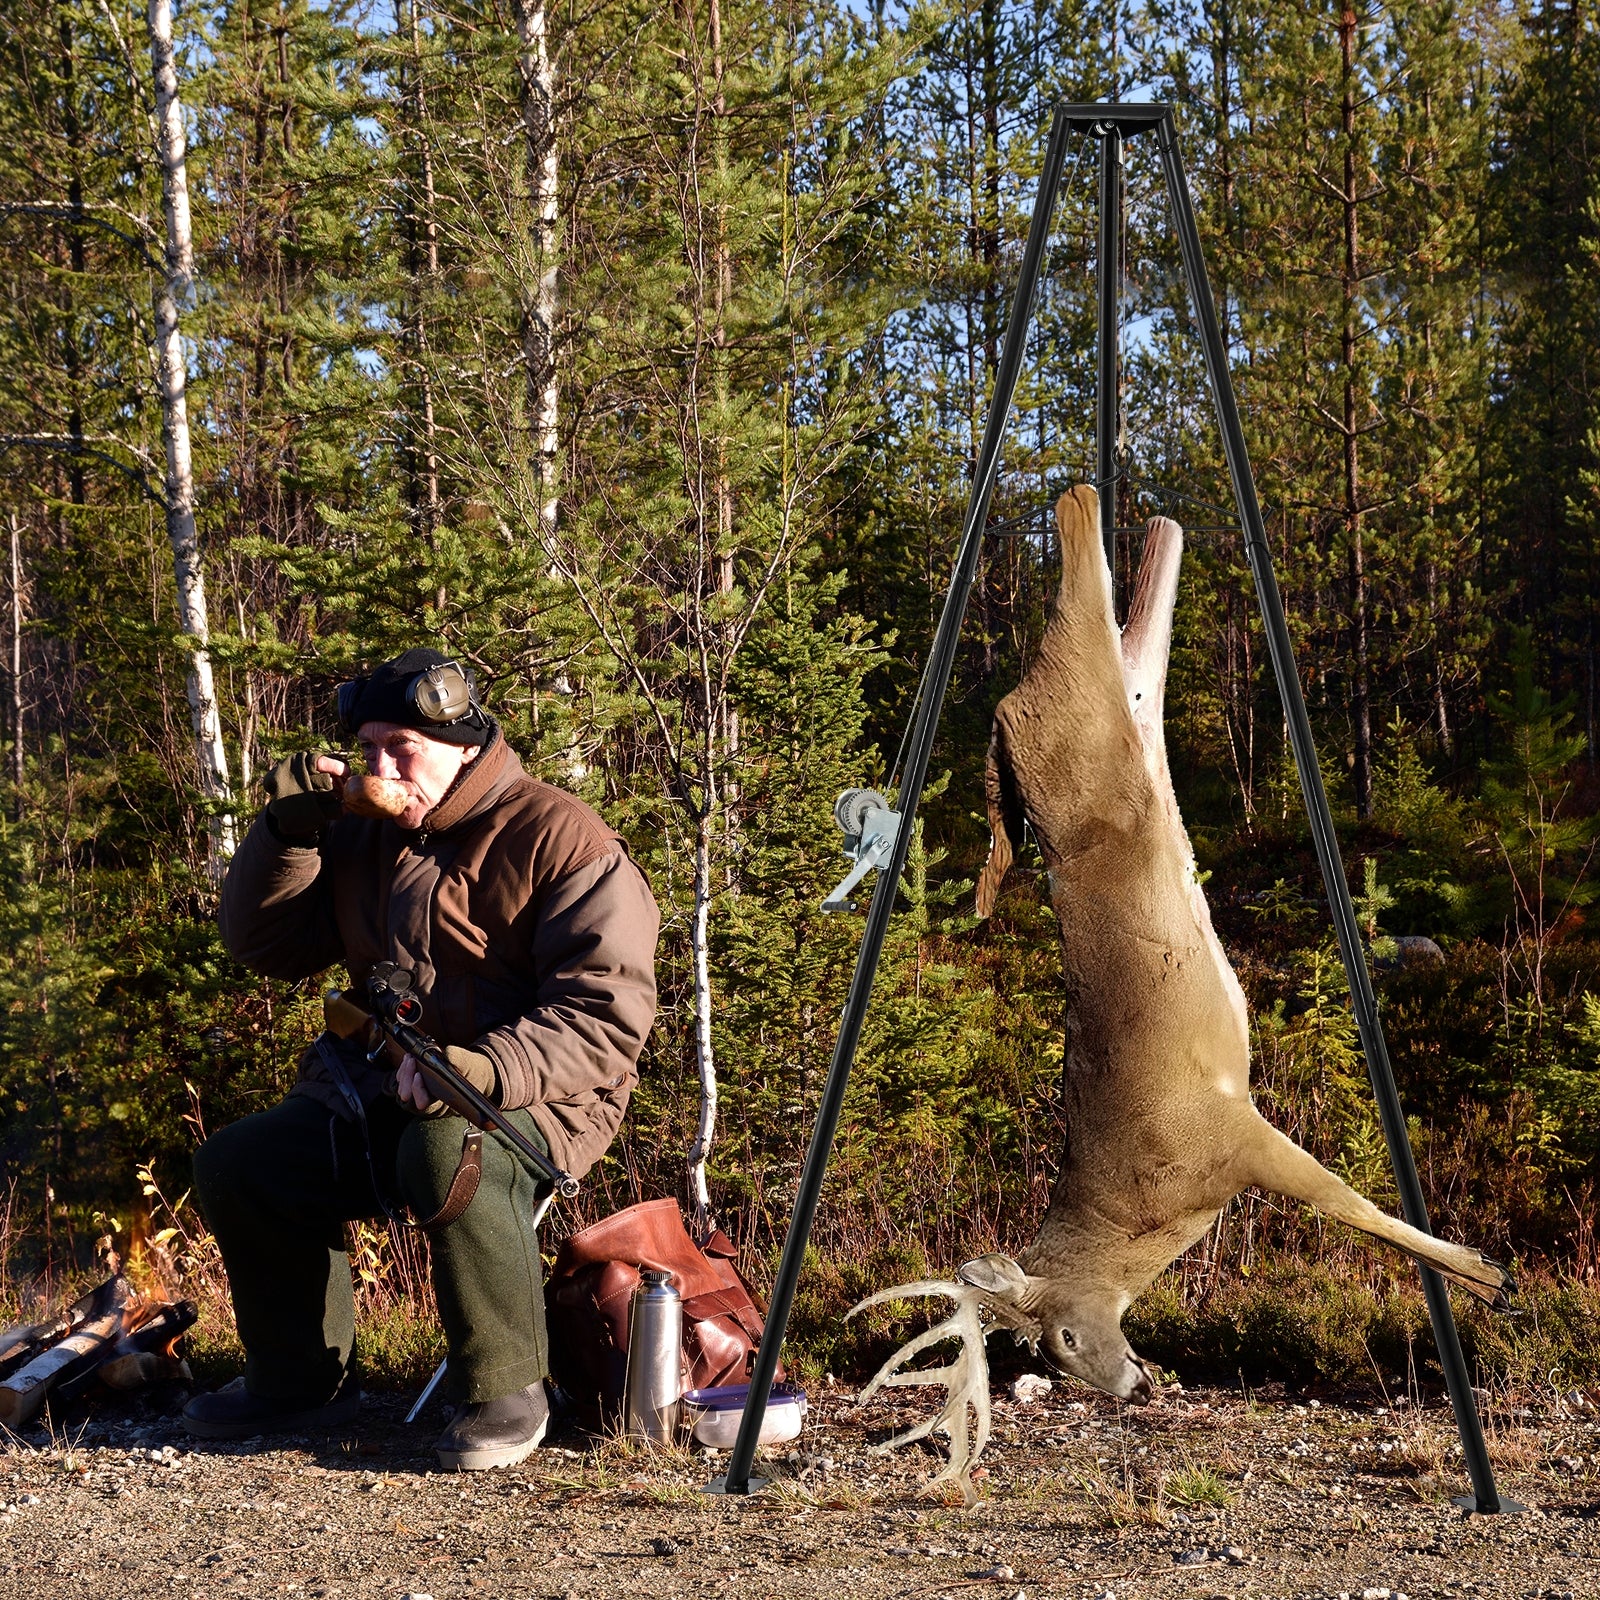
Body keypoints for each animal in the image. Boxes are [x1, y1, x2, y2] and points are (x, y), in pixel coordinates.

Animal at [850, 486, 1511, 1498]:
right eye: (1044, 1354)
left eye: (1062, 1335)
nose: (1134, 1387)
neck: (1141, 1211)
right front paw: (1486, 1276)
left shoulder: (1230, 1136)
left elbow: (1351, 1208)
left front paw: (1485, 1276)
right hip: (1117, 699)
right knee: (1134, 616)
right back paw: (1132, 515)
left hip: (1078, 717)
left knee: (1070, 628)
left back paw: (1077, 499)